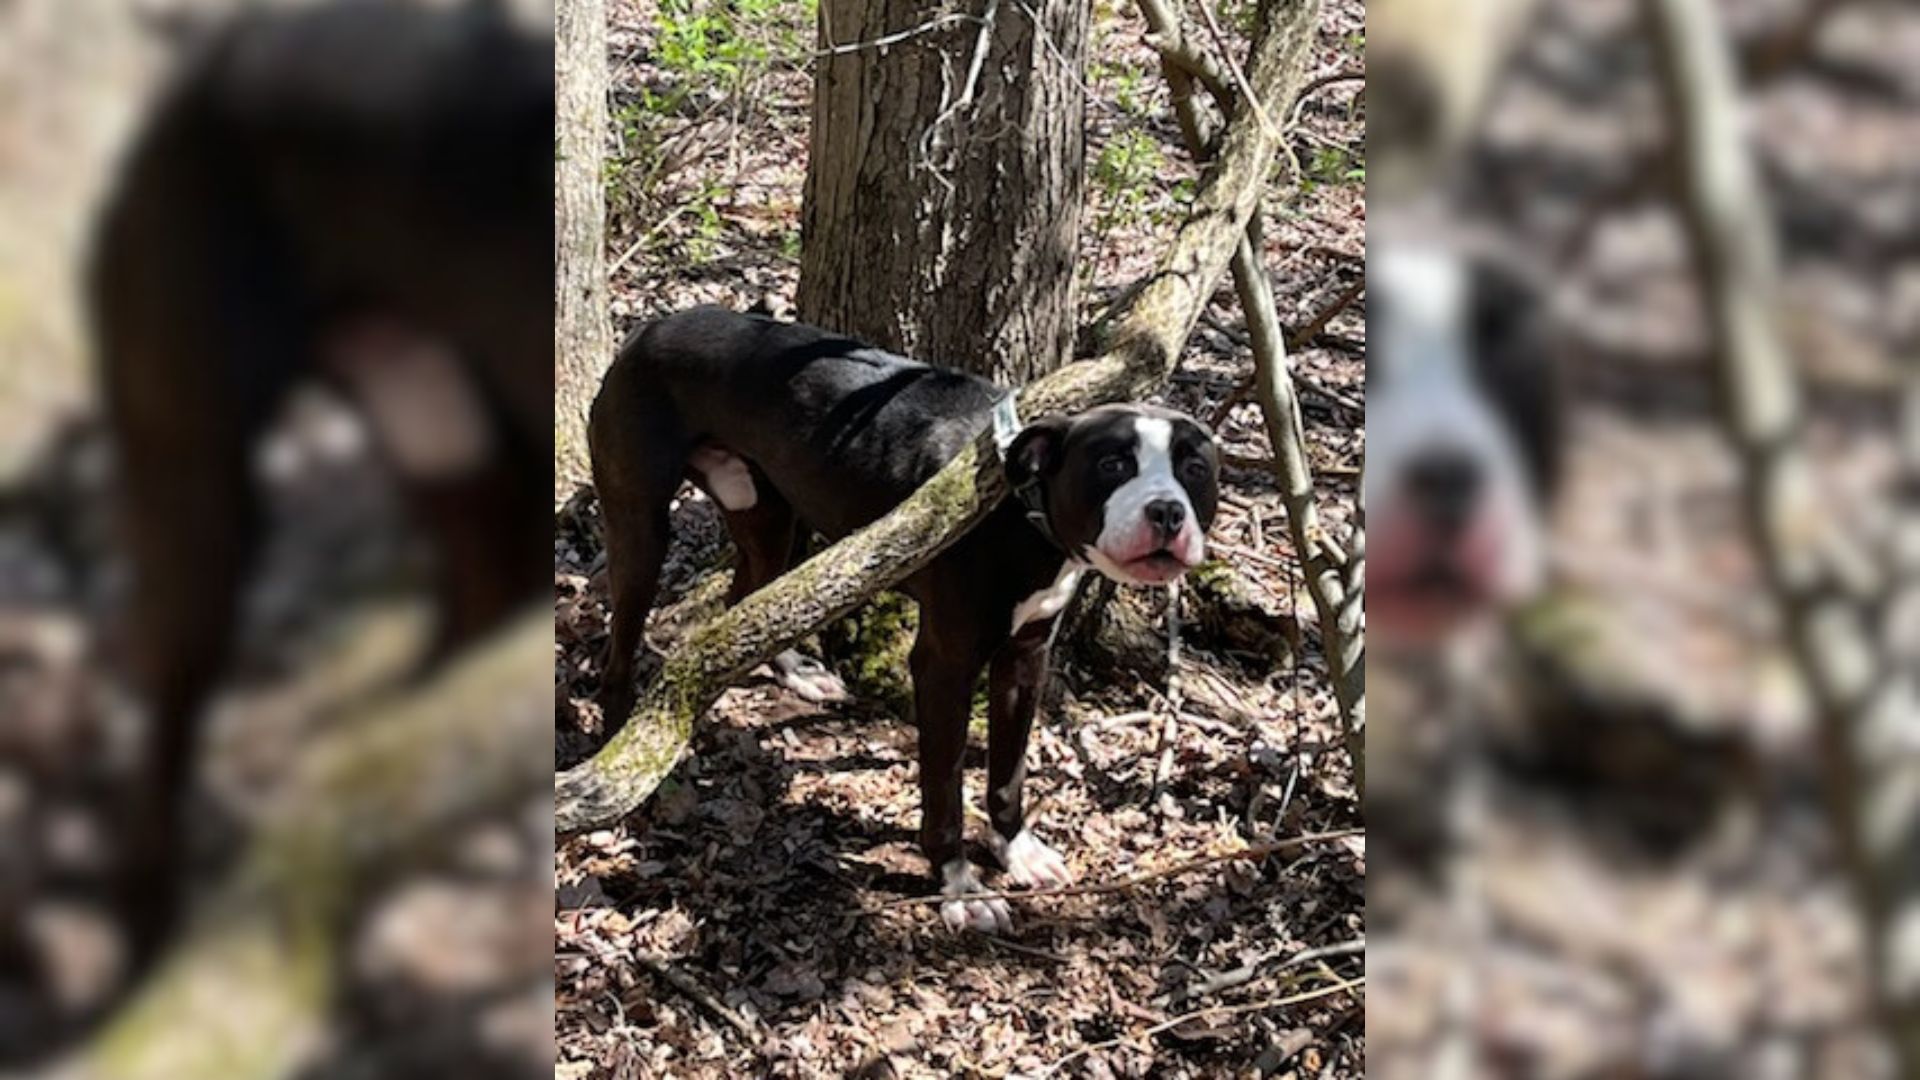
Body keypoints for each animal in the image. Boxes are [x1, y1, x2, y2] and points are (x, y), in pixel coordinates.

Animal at [587, 307, 1213, 930]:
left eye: (1196, 468)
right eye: (1112, 463)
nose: (1166, 511)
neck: (1020, 511)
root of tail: (653, 327)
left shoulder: (1025, 658)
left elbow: (1008, 773)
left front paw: (1016, 849)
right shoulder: (944, 665)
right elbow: (945, 791)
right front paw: (960, 886)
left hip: (768, 518)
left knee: (747, 602)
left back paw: (795, 673)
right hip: (641, 526)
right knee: (619, 649)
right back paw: (625, 758)